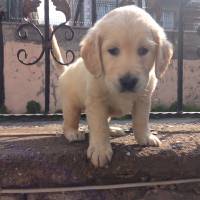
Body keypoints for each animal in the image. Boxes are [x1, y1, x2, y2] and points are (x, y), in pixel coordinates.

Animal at [57, 5, 173, 167]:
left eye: (143, 50)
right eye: (112, 50)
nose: (128, 81)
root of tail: (66, 70)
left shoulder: (143, 99)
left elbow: (141, 119)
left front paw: (145, 137)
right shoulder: (96, 102)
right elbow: (99, 127)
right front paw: (100, 150)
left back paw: (112, 130)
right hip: (70, 105)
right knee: (69, 122)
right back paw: (73, 133)